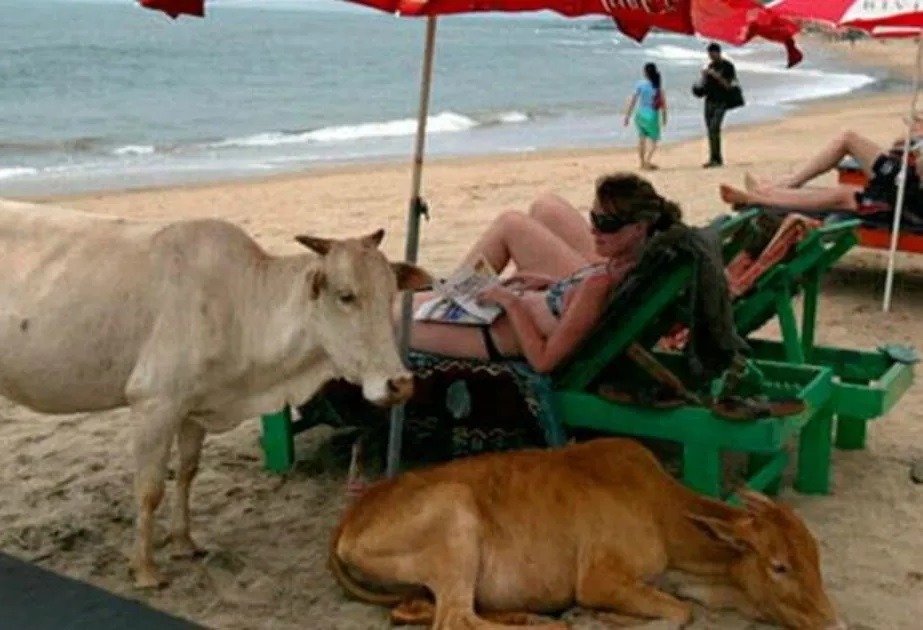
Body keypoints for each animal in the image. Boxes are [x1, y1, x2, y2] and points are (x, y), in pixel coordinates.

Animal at [0, 199, 432, 589]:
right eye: (346, 296)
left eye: (391, 293)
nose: (400, 383)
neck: (240, 304)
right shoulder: (154, 403)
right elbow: (149, 489)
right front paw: (145, 569)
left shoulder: (195, 408)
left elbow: (187, 473)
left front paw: (184, 542)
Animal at [329, 438, 846, 629]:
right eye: (780, 566)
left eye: (817, 559)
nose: (834, 623)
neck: (660, 511)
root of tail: (349, 519)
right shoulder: (600, 578)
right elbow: (680, 614)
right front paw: (599, 616)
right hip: (457, 520)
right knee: (456, 619)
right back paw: (549, 623)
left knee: (423, 611)